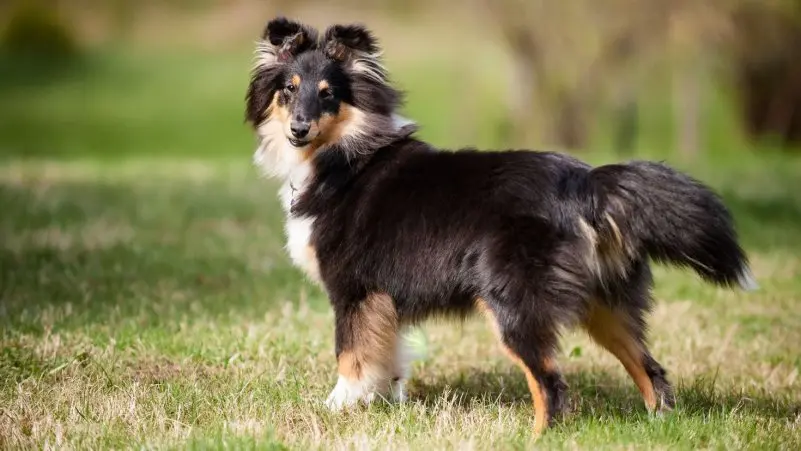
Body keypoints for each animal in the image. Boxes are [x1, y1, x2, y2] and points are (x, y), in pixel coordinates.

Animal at [244, 18, 756, 438]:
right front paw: (383, 403)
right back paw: (659, 427)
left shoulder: (354, 291)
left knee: (551, 384)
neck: (345, 154)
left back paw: (536, 438)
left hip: (513, 303)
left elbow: (350, 356)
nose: (298, 129)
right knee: (651, 370)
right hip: (605, 304)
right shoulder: (383, 302)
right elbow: (387, 358)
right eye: (288, 89)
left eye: (328, 92)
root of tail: (585, 184)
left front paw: (338, 407)